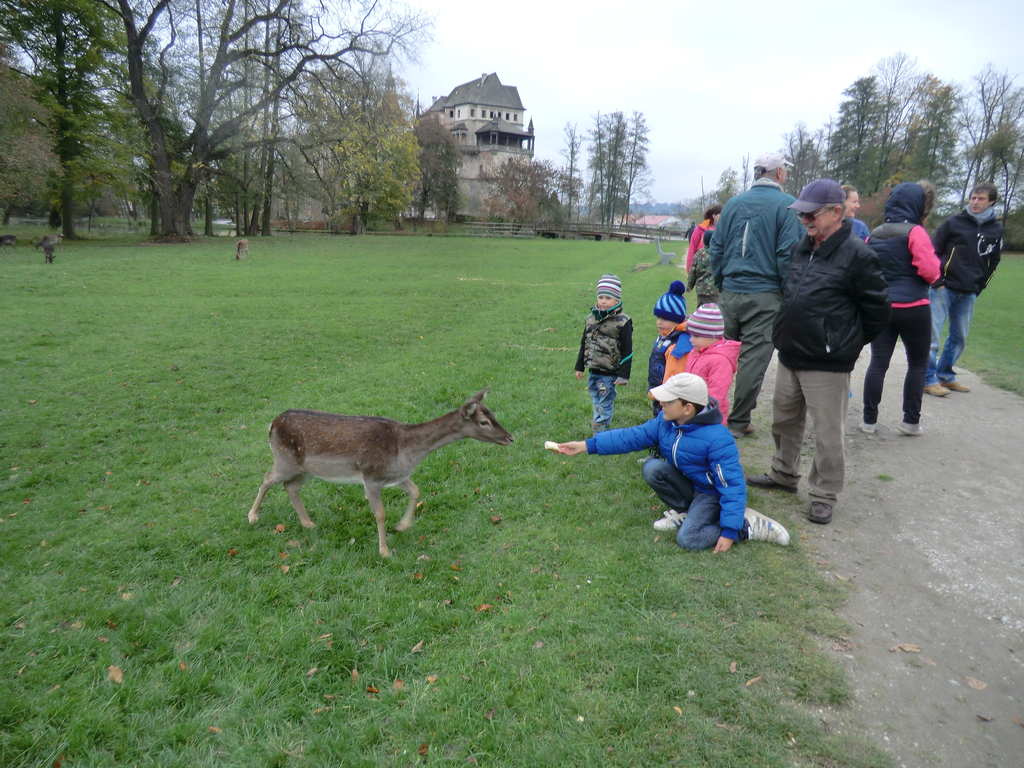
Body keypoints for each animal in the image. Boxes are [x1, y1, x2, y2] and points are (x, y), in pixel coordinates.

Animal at [244, 391, 516, 561]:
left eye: (492, 414)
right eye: (483, 422)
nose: (509, 437)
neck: (406, 450)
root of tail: (271, 424)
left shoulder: (397, 475)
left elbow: (416, 491)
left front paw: (403, 526)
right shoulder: (372, 477)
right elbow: (380, 513)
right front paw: (385, 551)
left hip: (306, 469)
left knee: (290, 487)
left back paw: (308, 523)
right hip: (285, 459)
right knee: (267, 478)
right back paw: (253, 516)